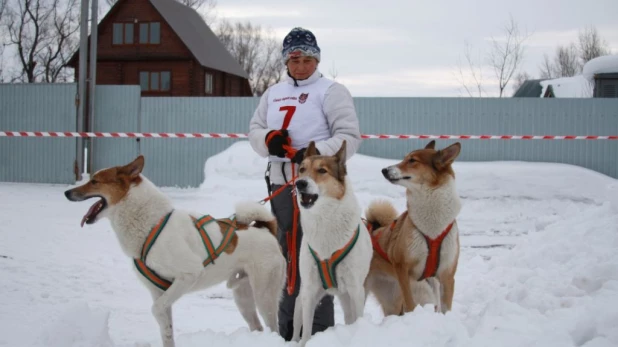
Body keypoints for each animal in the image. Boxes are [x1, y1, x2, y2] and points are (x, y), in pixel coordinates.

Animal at [63, 156, 286, 347]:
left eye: (94, 181)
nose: (67, 193)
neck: (151, 224)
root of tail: (266, 229)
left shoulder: (189, 275)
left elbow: (156, 309)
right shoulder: (158, 291)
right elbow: (166, 329)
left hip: (264, 295)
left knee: (273, 328)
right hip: (243, 297)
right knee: (257, 326)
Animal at [288, 141, 370, 347]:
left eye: (322, 170)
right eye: (302, 169)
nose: (300, 183)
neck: (324, 220)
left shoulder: (356, 289)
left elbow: (358, 318)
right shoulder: (309, 291)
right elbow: (306, 331)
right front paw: (305, 342)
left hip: (348, 294)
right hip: (303, 296)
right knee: (297, 325)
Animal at [364, 141, 460, 316]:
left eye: (412, 160)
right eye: (404, 158)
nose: (384, 170)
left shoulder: (447, 275)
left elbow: (446, 309)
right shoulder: (403, 269)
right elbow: (410, 304)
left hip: (392, 298)